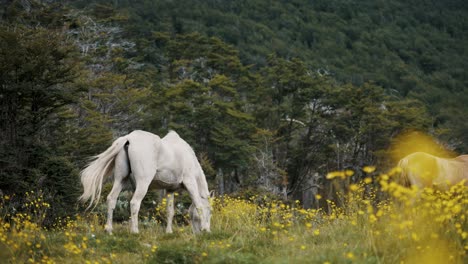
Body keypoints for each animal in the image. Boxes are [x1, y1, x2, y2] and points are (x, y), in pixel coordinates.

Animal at [79, 130, 211, 233]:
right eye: (210, 211)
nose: (206, 231)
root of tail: (128, 138)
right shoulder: (190, 182)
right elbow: (198, 205)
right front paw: (205, 227)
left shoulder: (170, 190)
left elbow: (170, 211)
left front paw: (169, 232)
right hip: (143, 183)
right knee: (134, 203)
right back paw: (135, 231)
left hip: (120, 179)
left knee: (111, 199)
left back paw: (109, 230)